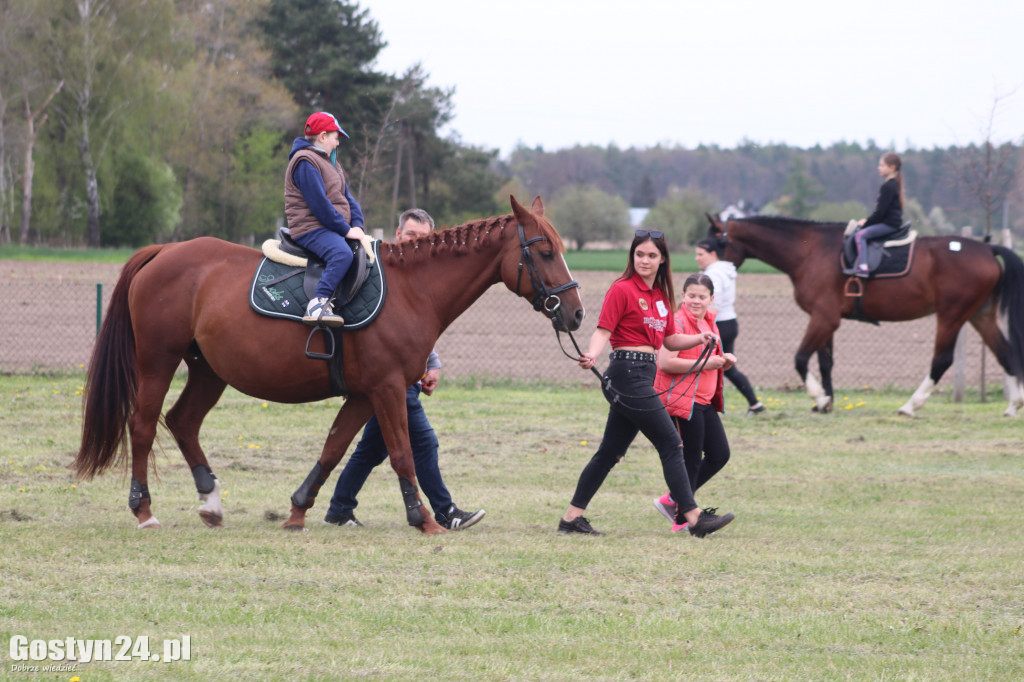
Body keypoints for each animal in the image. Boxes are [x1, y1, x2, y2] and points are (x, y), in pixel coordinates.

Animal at [72, 195, 585, 532]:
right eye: (544, 252)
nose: (577, 312)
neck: (411, 290)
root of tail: (164, 251)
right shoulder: (386, 389)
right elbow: (401, 452)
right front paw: (423, 518)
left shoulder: (364, 394)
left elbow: (335, 448)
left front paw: (299, 510)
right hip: (157, 362)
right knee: (143, 426)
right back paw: (143, 510)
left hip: (209, 371)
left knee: (182, 422)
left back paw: (211, 502)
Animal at [704, 215, 1024, 413]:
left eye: (716, 244)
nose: (707, 273)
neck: (809, 251)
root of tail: (987, 247)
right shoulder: (827, 320)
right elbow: (825, 363)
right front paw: (826, 402)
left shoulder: (823, 318)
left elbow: (801, 359)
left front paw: (819, 397)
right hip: (979, 315)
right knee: (1005, 353)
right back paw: (1014, 406)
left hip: (951, 315)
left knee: (942, 360)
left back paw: (911, 405)